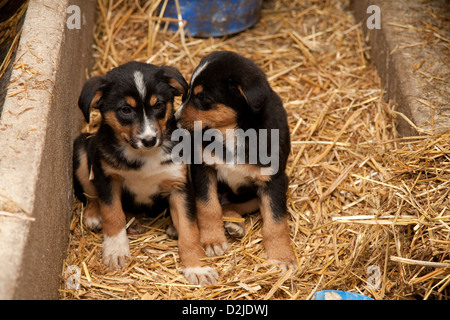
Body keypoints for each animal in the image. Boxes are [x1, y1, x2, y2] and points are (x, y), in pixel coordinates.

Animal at [73, 62, 219, 284]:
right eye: (125, 110)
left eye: (158, 105)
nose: (149, 140)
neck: (144, 156)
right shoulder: (107, 177)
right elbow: (112, 214)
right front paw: (116, 250)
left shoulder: (179, 185)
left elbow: (189, 231)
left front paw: (197, 268)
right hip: (83, 149)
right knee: (91, 195)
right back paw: (93, 215)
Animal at [176, 51, 298, 274]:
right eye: (186, 93)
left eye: (203, 98)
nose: (175, 119)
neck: (231, 131)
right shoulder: (202, 167)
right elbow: (208, 206)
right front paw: (212, 240)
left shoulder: (274, 179)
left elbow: (276, 222)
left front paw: (281, 256)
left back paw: (234, 224)